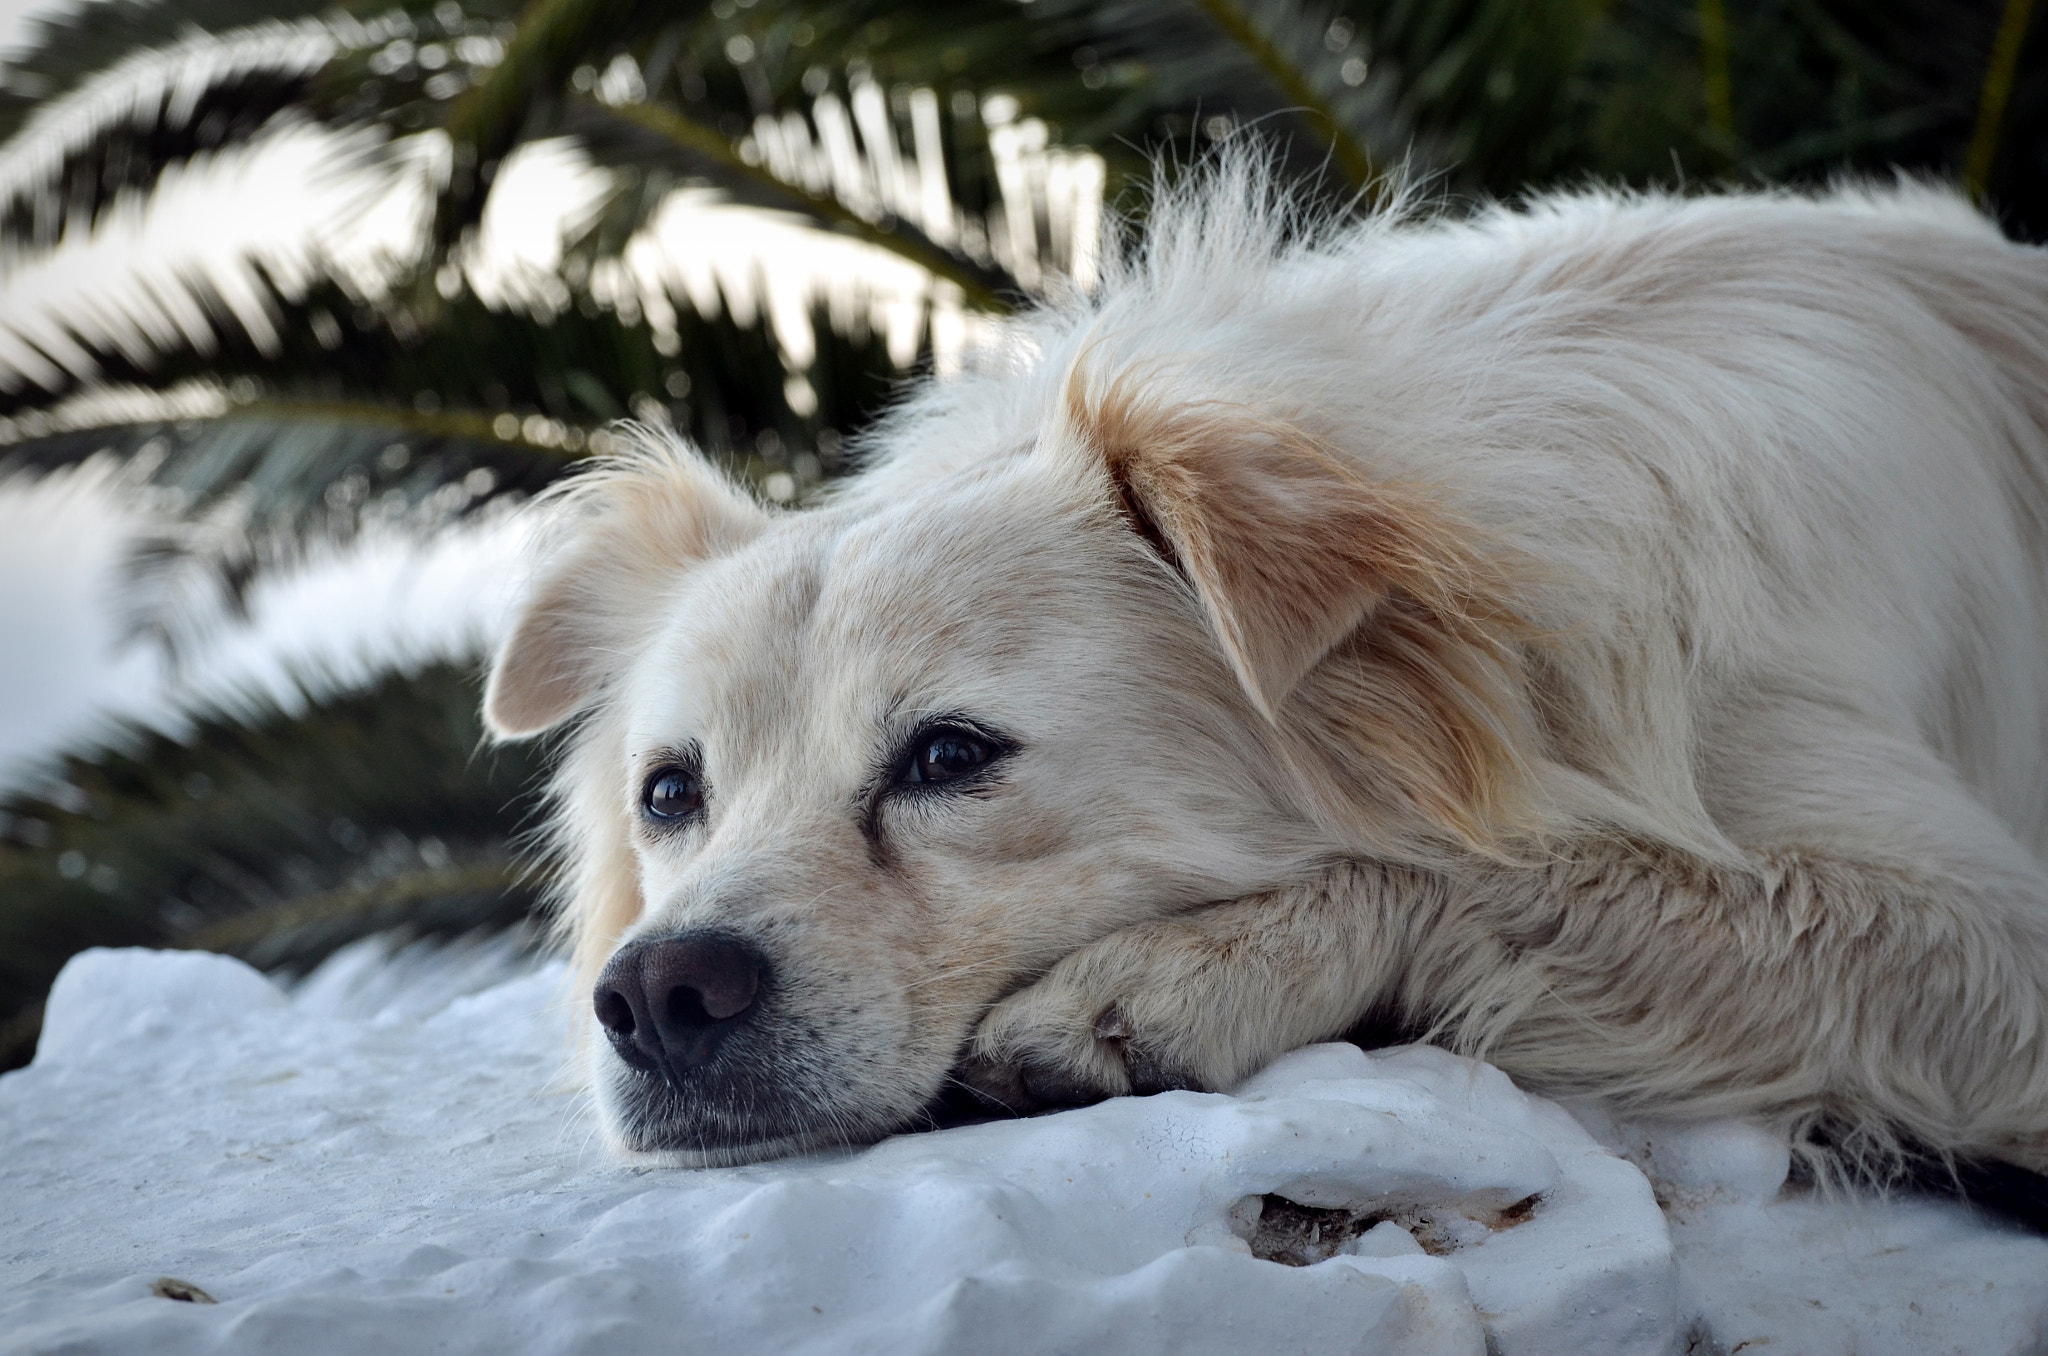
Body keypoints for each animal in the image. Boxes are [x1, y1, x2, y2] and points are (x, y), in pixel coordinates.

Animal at [483, 156, 2048, 1179]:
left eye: (948, 756)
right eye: (669, 794)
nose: (658, 997)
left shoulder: (1990, 933)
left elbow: (1496, 863)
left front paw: (1184, 971)